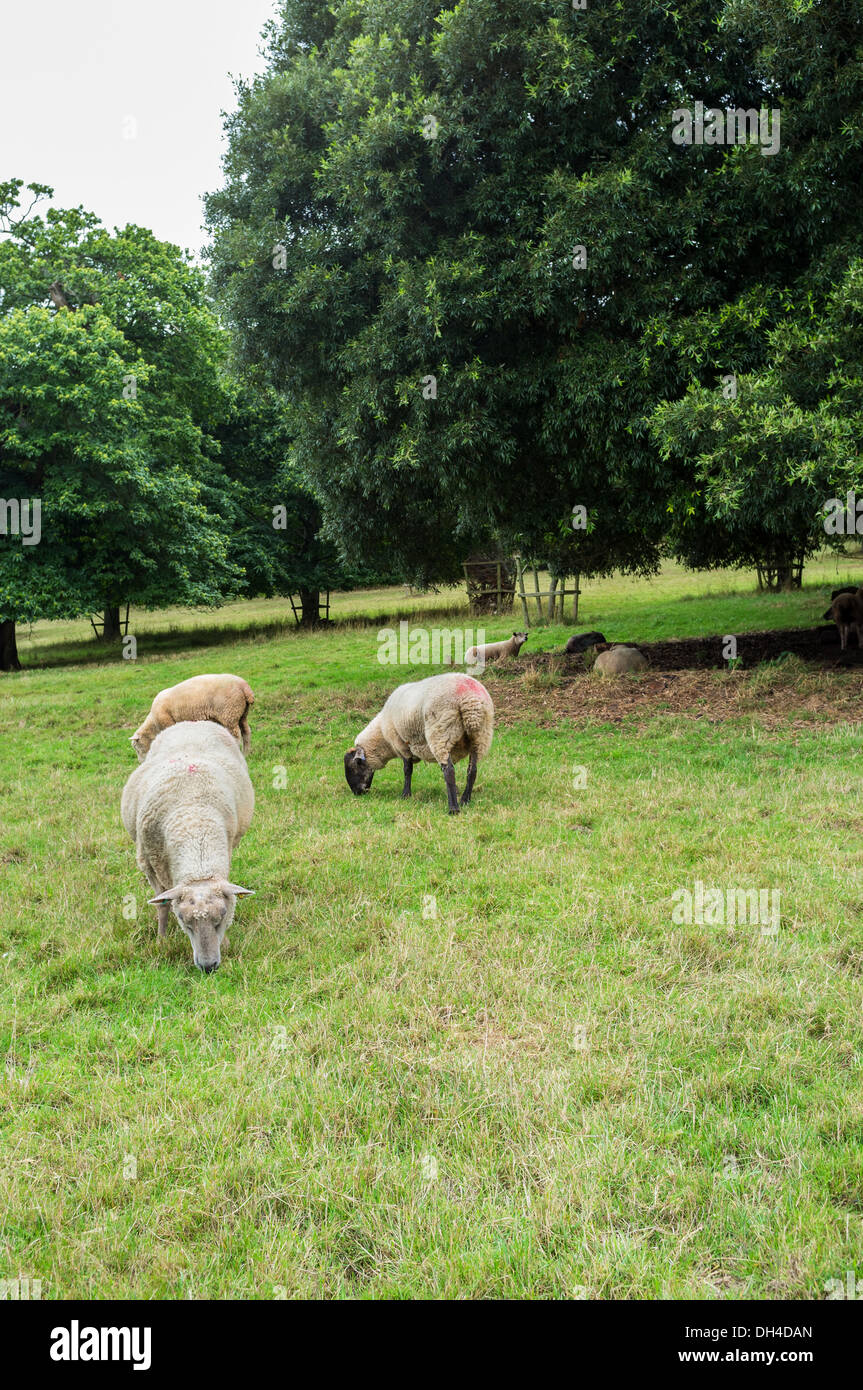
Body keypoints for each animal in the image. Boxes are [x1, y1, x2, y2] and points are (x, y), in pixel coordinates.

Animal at [120, 722, 255, 973]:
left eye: (222, 917)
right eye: (184, 921)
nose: (208, 966)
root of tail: (192, 722)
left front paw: (226, 942)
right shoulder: (149, 864)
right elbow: (162, 905)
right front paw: (161, 940)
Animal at [341, 672, 491, 811]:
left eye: (355, 765)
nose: (357, 793)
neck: (382, 736)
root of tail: (471, 698)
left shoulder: (402, 744)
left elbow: (407, 770)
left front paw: (405, 795)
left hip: (441, 733)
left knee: (449, 771)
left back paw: (453, 808)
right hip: (480, 736)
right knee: (472, 771)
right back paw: (465, 800)